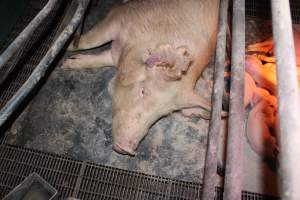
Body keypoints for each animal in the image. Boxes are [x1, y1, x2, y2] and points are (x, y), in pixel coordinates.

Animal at [62, 0, 219, 155]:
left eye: (166, 113)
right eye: (143, 91)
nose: (125, 148)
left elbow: (101, 58)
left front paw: (67, 63)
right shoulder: (120, 16)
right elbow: (86, 42)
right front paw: (65, 54)